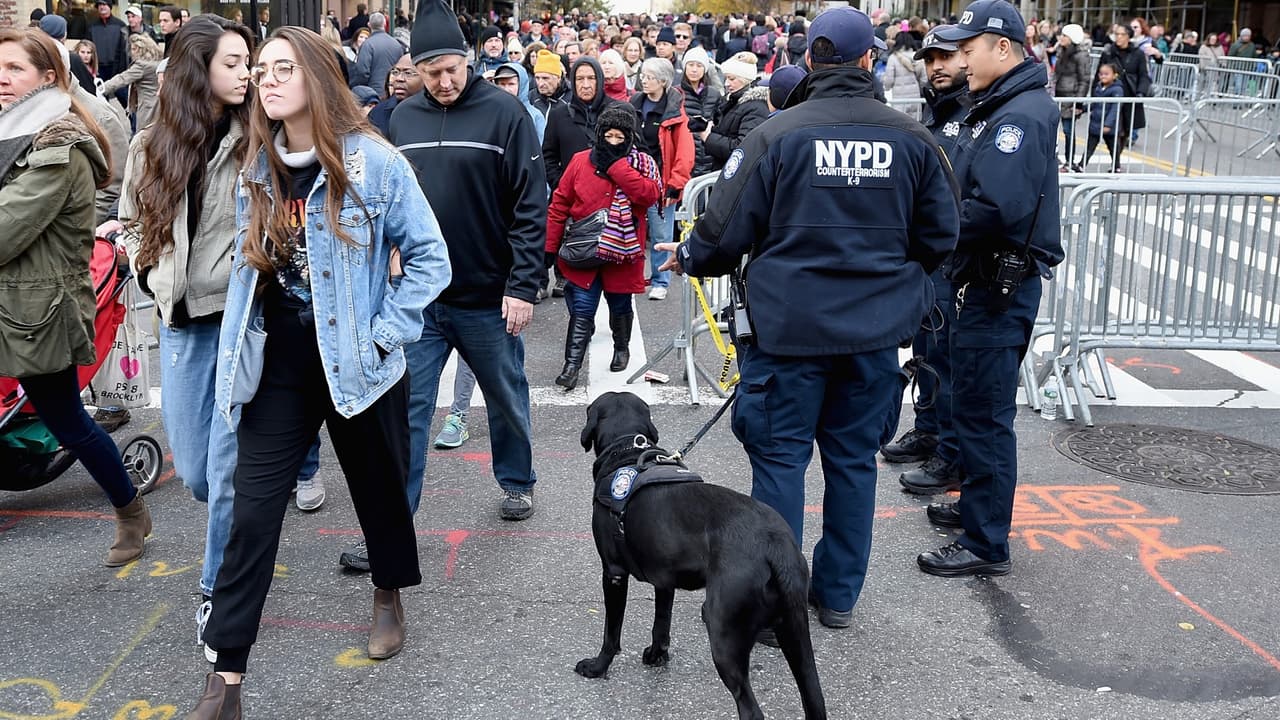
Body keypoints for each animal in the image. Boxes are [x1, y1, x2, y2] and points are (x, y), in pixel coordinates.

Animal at [576, 392, 826, 720]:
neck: (628, 449)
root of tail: (776, 545)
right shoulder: (664, 580)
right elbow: (661, 623)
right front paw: (656, 655)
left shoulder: (614, 573)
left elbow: (611, 632)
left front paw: (597, 666)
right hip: (795, 633)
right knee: (814, 698)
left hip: (724, 636)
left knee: (750, 708)